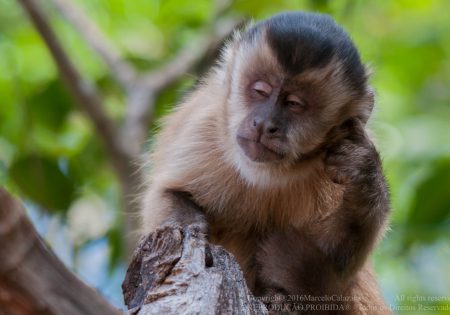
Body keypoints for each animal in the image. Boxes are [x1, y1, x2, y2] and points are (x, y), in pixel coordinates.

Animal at [140, 11, 390, 314]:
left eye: (294, 103)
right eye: (260, 90)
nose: (264, 124)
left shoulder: (345, 142)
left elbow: (337, 263)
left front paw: (364, 177)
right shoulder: (204, 129)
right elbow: (168, 193)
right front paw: (192, 229)